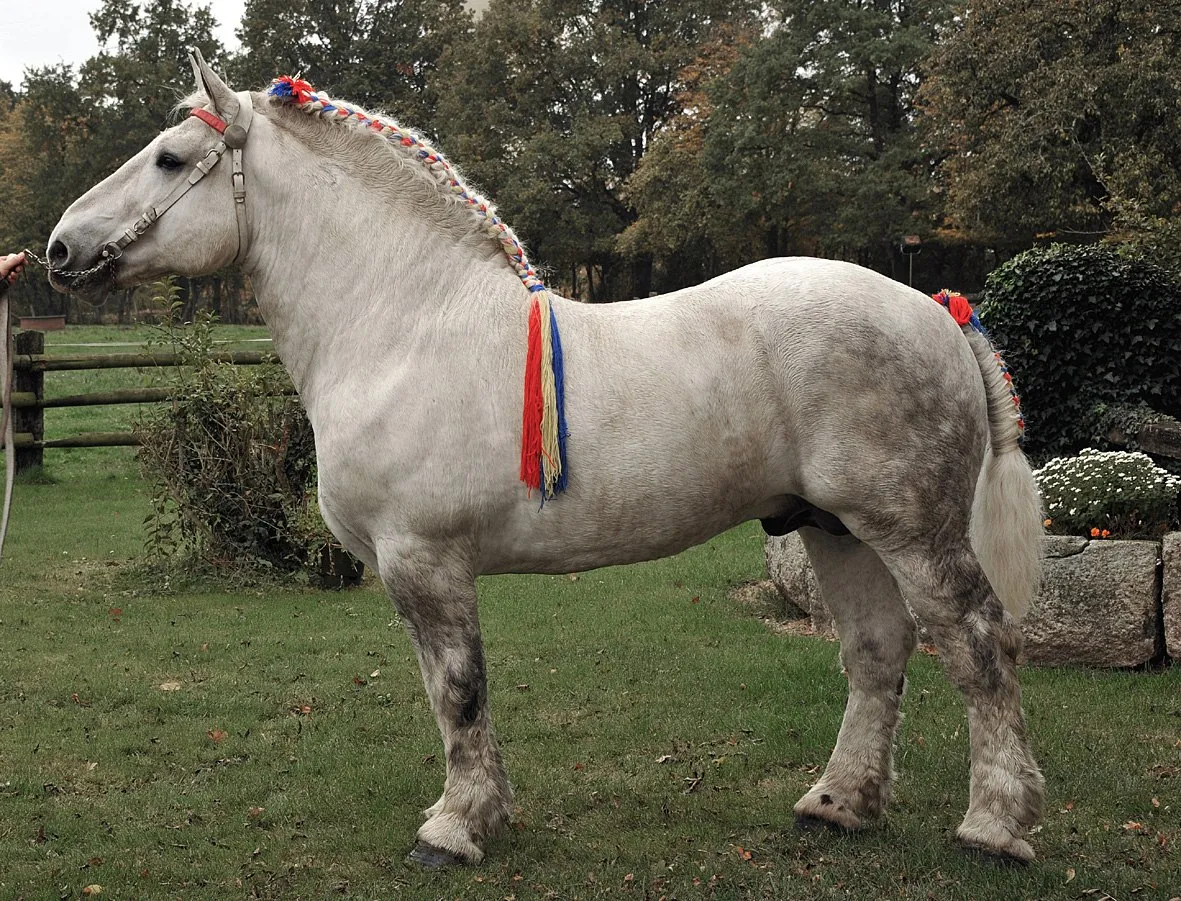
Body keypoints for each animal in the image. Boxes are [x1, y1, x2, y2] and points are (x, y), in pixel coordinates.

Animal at [48, 54, 1044, 869]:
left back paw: (994, 824)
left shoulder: (425, 560)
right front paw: (480, 812)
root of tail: (935, 307)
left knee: (979, 644)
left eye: (170, 158)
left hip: (908, 530)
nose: (60, 248)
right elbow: (448, 694)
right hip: (832, 527)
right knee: (877, 651)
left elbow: (457, 692)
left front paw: (454, 828)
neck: (406, 326)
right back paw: (839, 804)